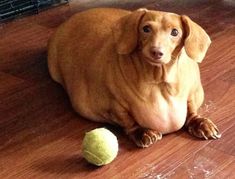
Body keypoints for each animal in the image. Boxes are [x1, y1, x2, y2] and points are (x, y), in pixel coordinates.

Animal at [47, 7, 220, 148]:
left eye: (175, 32)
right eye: (146, 28)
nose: (156, 52)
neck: (159, 79)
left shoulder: (192, 94)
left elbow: (191, 109)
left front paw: (200, 123)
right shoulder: (114, 106)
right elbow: (127, 120)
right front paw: (141, 131)